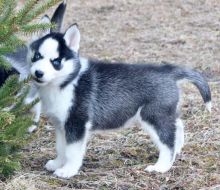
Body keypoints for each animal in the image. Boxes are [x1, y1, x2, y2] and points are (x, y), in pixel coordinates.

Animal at [28, 24, 212, 178]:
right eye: (37, 56)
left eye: (56, 62)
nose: (38, 73)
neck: (67, 81)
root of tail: (168, 70)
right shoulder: (61, 125)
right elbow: (61, 147)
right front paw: (57, 163)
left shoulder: (76, 123)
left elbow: (72, 151)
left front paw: (68, 170)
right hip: (165, 113)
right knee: (177, 126)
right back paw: (178, 148)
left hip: (153, 116)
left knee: (167, 142)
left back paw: (161, 166)